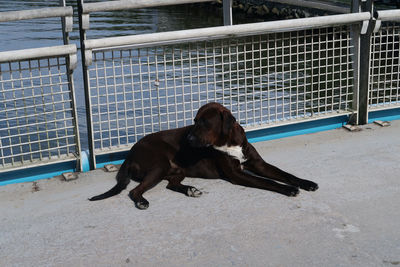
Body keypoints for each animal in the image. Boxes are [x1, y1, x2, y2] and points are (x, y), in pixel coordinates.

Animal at [89, 102, 318, 209]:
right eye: (194, 121)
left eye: (205, 123)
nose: (188, 139)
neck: (229, 142)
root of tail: (129, 154)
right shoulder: (237, 174)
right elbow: (267, 182)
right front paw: (289, 190)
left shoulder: (258, 164)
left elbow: (284, 173)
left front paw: (306, 183)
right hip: (159, 165)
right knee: (134, 190)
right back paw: (142, 201)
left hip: (176, 170)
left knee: (171, 184)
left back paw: (190, 190)